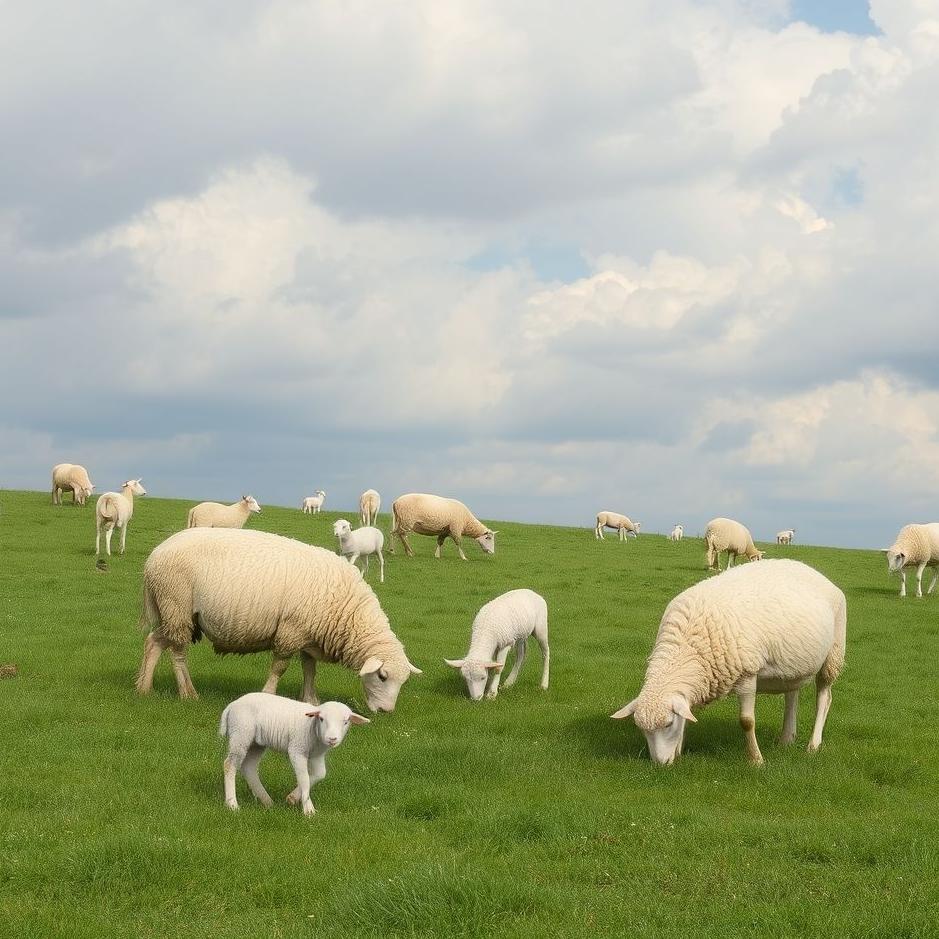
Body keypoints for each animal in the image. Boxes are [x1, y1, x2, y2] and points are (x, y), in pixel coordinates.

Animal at [135, 528, 421, 711]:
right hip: (176, 604)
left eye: (403, 682)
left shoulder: (308, 635)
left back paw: (144, 688)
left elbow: (309, 669)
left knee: (153, 642)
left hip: (175, 613)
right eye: (382, 676)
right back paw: (188, 693)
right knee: (178, 653)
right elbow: (280, 668)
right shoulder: (291, 631)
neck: (348, 611)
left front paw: (311, 700)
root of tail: (154, 556)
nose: (386, 711)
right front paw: (268, 694)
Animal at [219, 692, 369, 816]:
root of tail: (232, 705)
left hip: (257, 743)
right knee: (229, 764)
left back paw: (267, 801)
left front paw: (292, 798)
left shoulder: (317, 755)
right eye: (321, 718)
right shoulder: (297, 750)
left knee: (249, 767)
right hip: (241, 733)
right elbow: (304, 778)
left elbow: (320, 774)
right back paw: (232, 804)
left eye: (346, 721)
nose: (332, 739)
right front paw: (308, 809)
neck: (312, 728)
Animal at [611, 559, 846, 766]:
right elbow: (688, 714)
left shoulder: (747, 674)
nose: (660, 765)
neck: (689, 645)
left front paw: (756, 760)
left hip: (833, 655)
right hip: (793, 665)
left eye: (669, 724)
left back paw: (813, 745)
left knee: (824, 698)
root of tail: (818, 574)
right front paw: (679, 752)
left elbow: (747, 721)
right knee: (792, 696)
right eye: (642, 729)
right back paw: (786, 738)